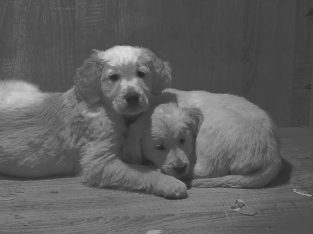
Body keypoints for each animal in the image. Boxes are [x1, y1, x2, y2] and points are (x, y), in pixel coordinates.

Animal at [0, 45, 190, 197]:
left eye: (141, 74)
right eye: (113, 77)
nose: (132, 97)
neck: (107, 107)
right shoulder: (99, 162)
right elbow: (140, 172)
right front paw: (169, 182)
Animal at [123, 88, 282, 189]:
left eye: (183, 140)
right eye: (159, 147)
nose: (180, 167)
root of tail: (274, 156)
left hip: (210, 131)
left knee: (206, 170)